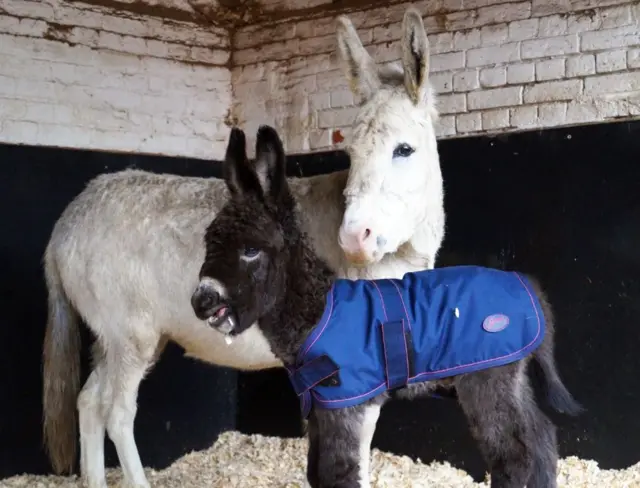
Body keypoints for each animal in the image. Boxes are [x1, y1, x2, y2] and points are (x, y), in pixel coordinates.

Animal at [191, 127, 584, 488]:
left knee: (515, 453)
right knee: (541, 438)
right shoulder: (320, 408)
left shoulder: (345, 404)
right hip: (508, 376)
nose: (202, 301)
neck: (317, 310)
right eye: (209, 242)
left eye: (250, 250)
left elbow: (340, 473)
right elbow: (317, 473)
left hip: (487, 375)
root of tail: (526, 284)